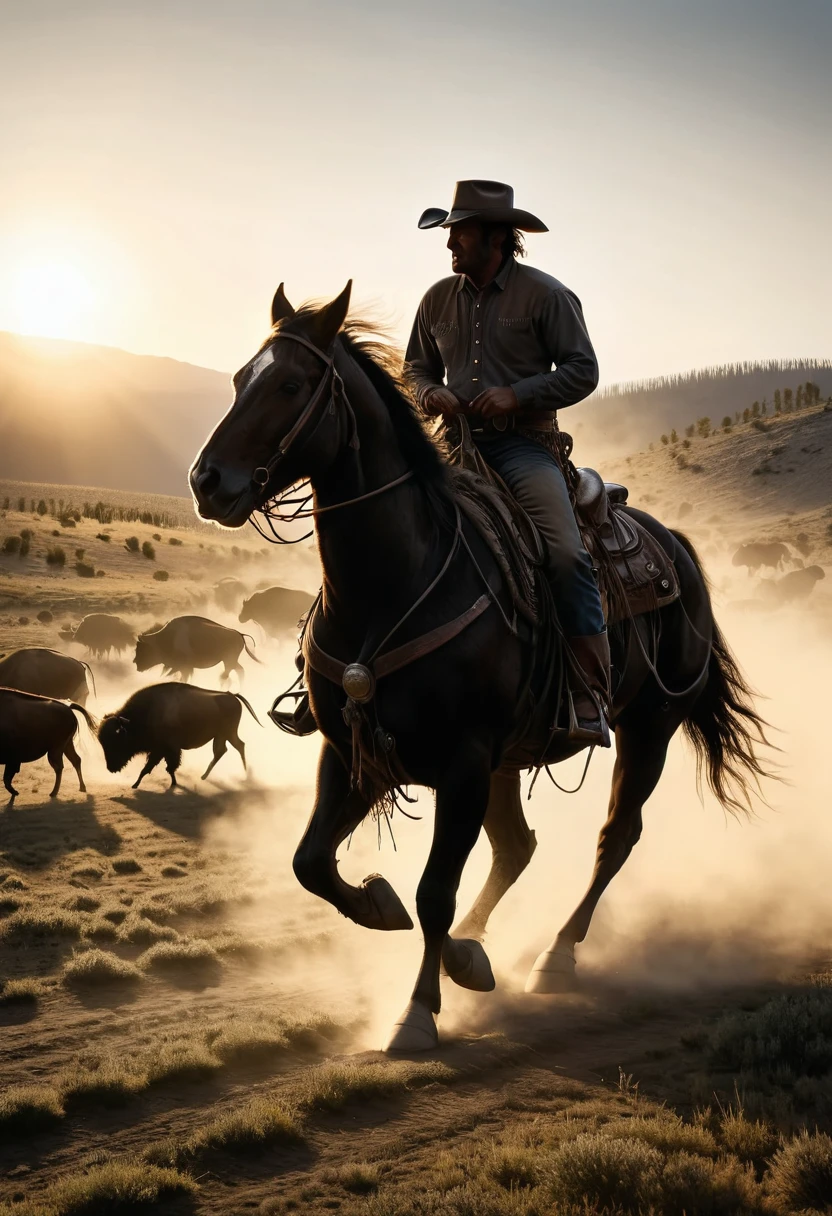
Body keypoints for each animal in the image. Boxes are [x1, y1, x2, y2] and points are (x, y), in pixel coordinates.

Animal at [100, 685, 262, 787]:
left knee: (235, 747)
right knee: (226, 749)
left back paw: (244, 775)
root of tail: (232, 695)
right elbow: (163, 767)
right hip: (222, 735)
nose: (110, 768)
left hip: (227, 732)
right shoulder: (162, 751)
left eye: (117, 740)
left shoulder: (165, 749)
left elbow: (160, 767)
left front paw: (136, 784)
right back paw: (206, 776)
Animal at [188, 284, 768, 1055]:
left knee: (614, 837)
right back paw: (476, 948)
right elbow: (311, 862)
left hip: (649, 728)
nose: (207, 481)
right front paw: (384, 909)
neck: (397, 581)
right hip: (512, 758)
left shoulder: (462, 763)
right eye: (236, 381)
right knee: (517, 848)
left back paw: (554, 954)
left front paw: (416, 1013)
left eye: (289, 384)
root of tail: (674, 545)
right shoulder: (350, 750)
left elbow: (435, 891)